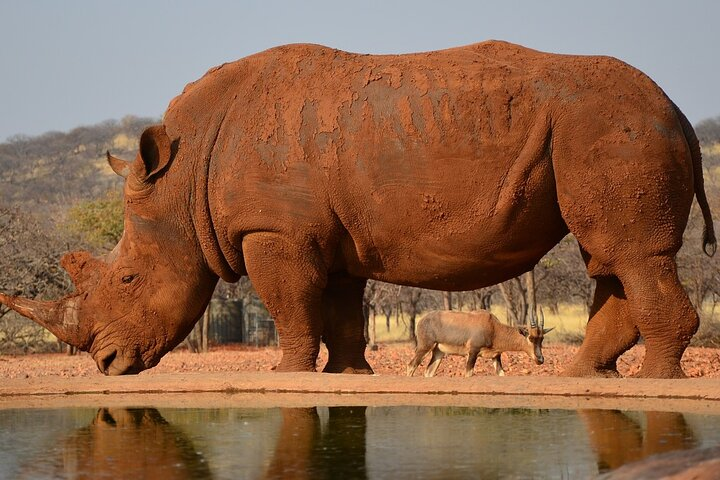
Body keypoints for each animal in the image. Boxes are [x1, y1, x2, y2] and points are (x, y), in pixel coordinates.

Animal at [404, 310, 552, 376]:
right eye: (530, 338)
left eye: (542, 339)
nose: (540, 359)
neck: (492, 326)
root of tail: (422, 320)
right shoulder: (472, 352)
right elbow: (468, 373)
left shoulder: (496, 356)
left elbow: (501, 374)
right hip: (424, 347)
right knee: (411, 366)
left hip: (438, 352)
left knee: (428, 372)